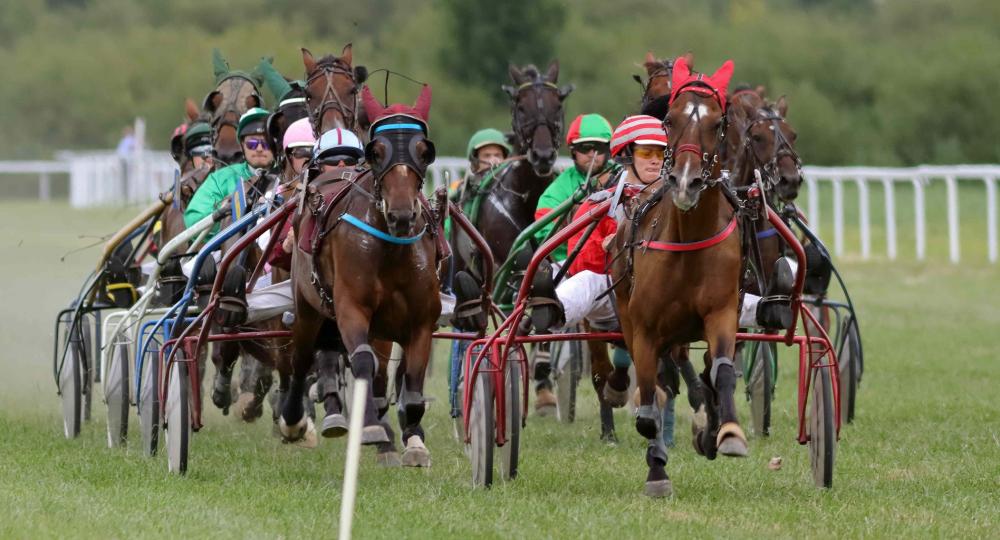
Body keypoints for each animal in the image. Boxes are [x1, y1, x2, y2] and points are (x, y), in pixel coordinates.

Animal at [280, 86, 440, 466]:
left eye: (424, 151)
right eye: (376, 152)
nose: (401, 213)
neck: (392, 248)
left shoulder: (421, 320)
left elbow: (411, 382)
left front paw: (413, 441)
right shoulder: (351, 307)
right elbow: (362, 362)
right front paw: (369, 429)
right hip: (307, 305)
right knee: (301, 359)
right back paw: (295, 420)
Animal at [608, 56, 744, 498]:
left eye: (718, 123)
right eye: (669, 119)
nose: (686, 181)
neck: (689, 239)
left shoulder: (722, 312)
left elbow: (722, 370)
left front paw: (726, 431)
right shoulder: (645, 328)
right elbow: (651, 402)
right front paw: (657, 470)